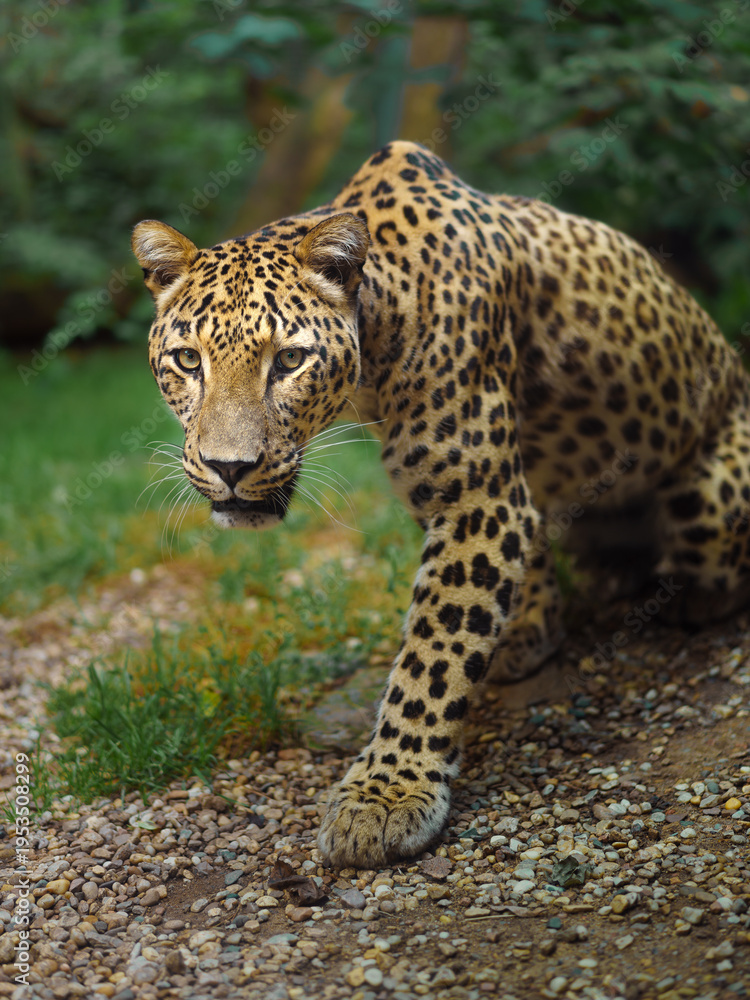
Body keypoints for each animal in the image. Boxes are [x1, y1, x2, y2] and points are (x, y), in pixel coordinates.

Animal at [132, 140, 750, 870]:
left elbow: (433, 653)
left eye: (288, 361)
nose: (230, 468)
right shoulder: (485, 495)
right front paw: (529, 630)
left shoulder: (475, 496)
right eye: (186, 361)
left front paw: (386, 796)